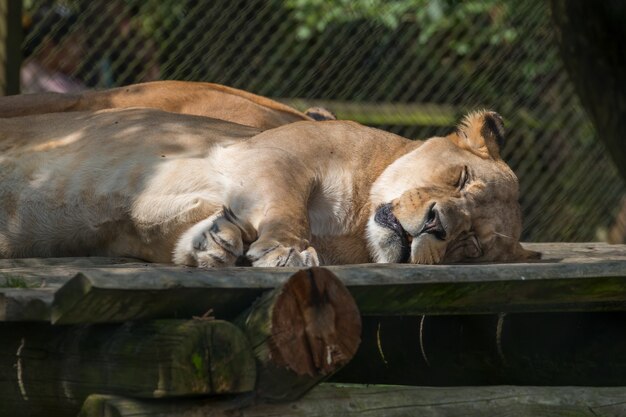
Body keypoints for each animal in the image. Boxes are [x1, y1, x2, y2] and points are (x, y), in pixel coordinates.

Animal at [0, 105, 536, 264]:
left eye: (471, 244)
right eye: (461, 179)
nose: (435, 226)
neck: (353, 225)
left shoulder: (140, 225)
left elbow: (176, 234)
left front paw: (213, 243)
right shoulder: (269, 157)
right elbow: (286, 204)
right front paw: (287, 251)